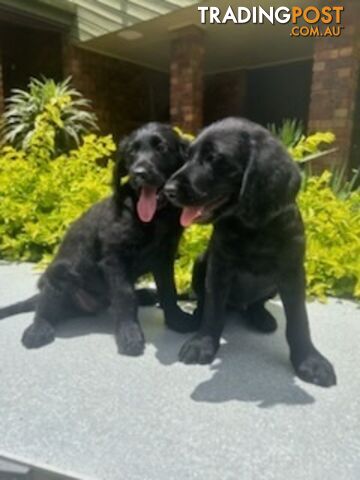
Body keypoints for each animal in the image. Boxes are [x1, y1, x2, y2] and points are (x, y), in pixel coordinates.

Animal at [0, 123, 197, 356]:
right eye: (131, 152)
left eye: (162, 148)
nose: (138, 173)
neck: (153, 217)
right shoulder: (114, 259)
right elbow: (125, 296)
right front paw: (129, 335)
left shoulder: (164, 257)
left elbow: (169, 291)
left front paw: (176, 320)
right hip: (59, 274)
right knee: (44, 309)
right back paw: (37, 330)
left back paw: (146, 294)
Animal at [166, 118, 338, 388]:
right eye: (188, 156)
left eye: (213, 158)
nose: (167, 190)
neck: (253, 226)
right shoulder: (219, 266)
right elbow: (213, 308)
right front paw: (203, 342)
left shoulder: (292, 272)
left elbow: (299, 321)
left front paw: (310, 360)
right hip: (201, 263)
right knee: (207, 300)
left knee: (255, 303)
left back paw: (261, 317)